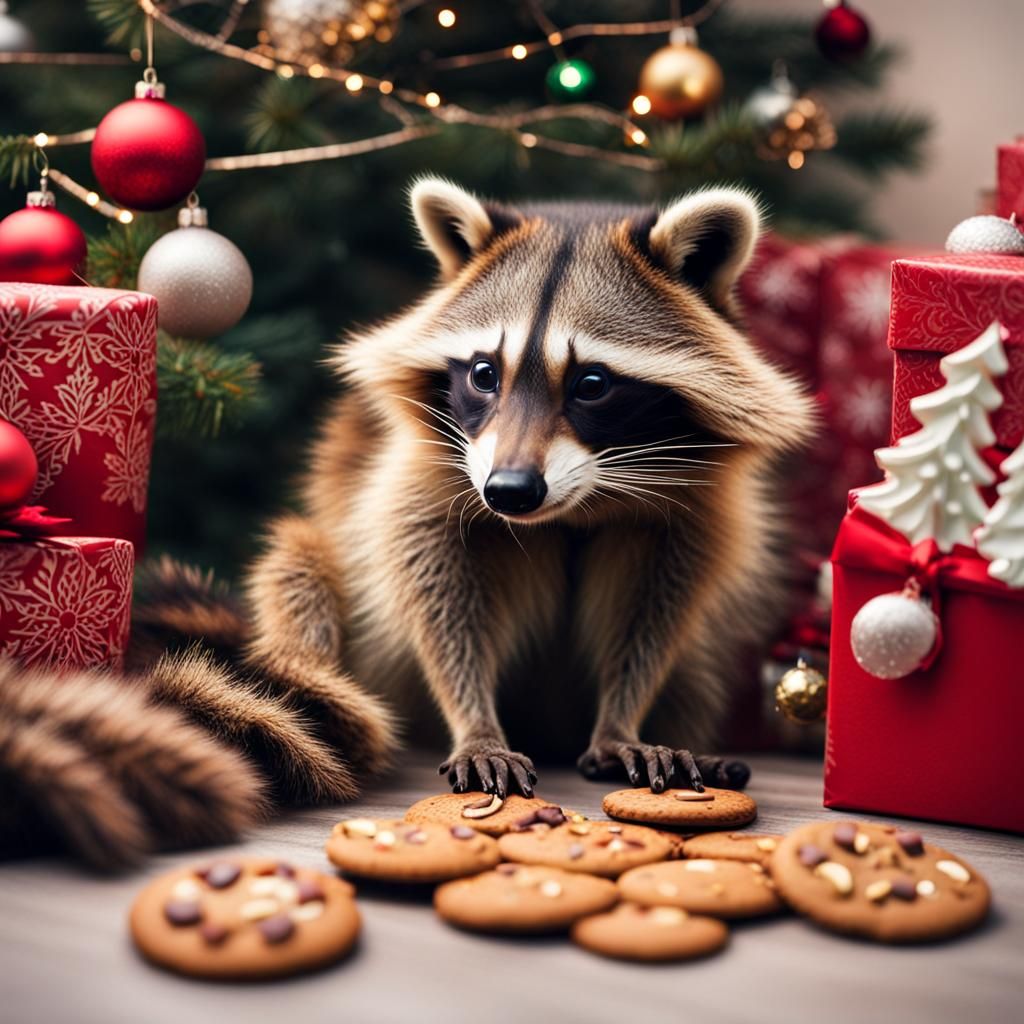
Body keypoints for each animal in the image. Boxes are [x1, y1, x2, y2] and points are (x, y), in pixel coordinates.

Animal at [236, 178, 818, 799]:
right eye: (484, 374)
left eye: (592, 384)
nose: (510, 491)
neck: (576, 508)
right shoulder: (425, 474)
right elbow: (434, 589)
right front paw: (474, 722)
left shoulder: (690, 506)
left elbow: (655, 610)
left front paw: (621, 720)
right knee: (302, 563)